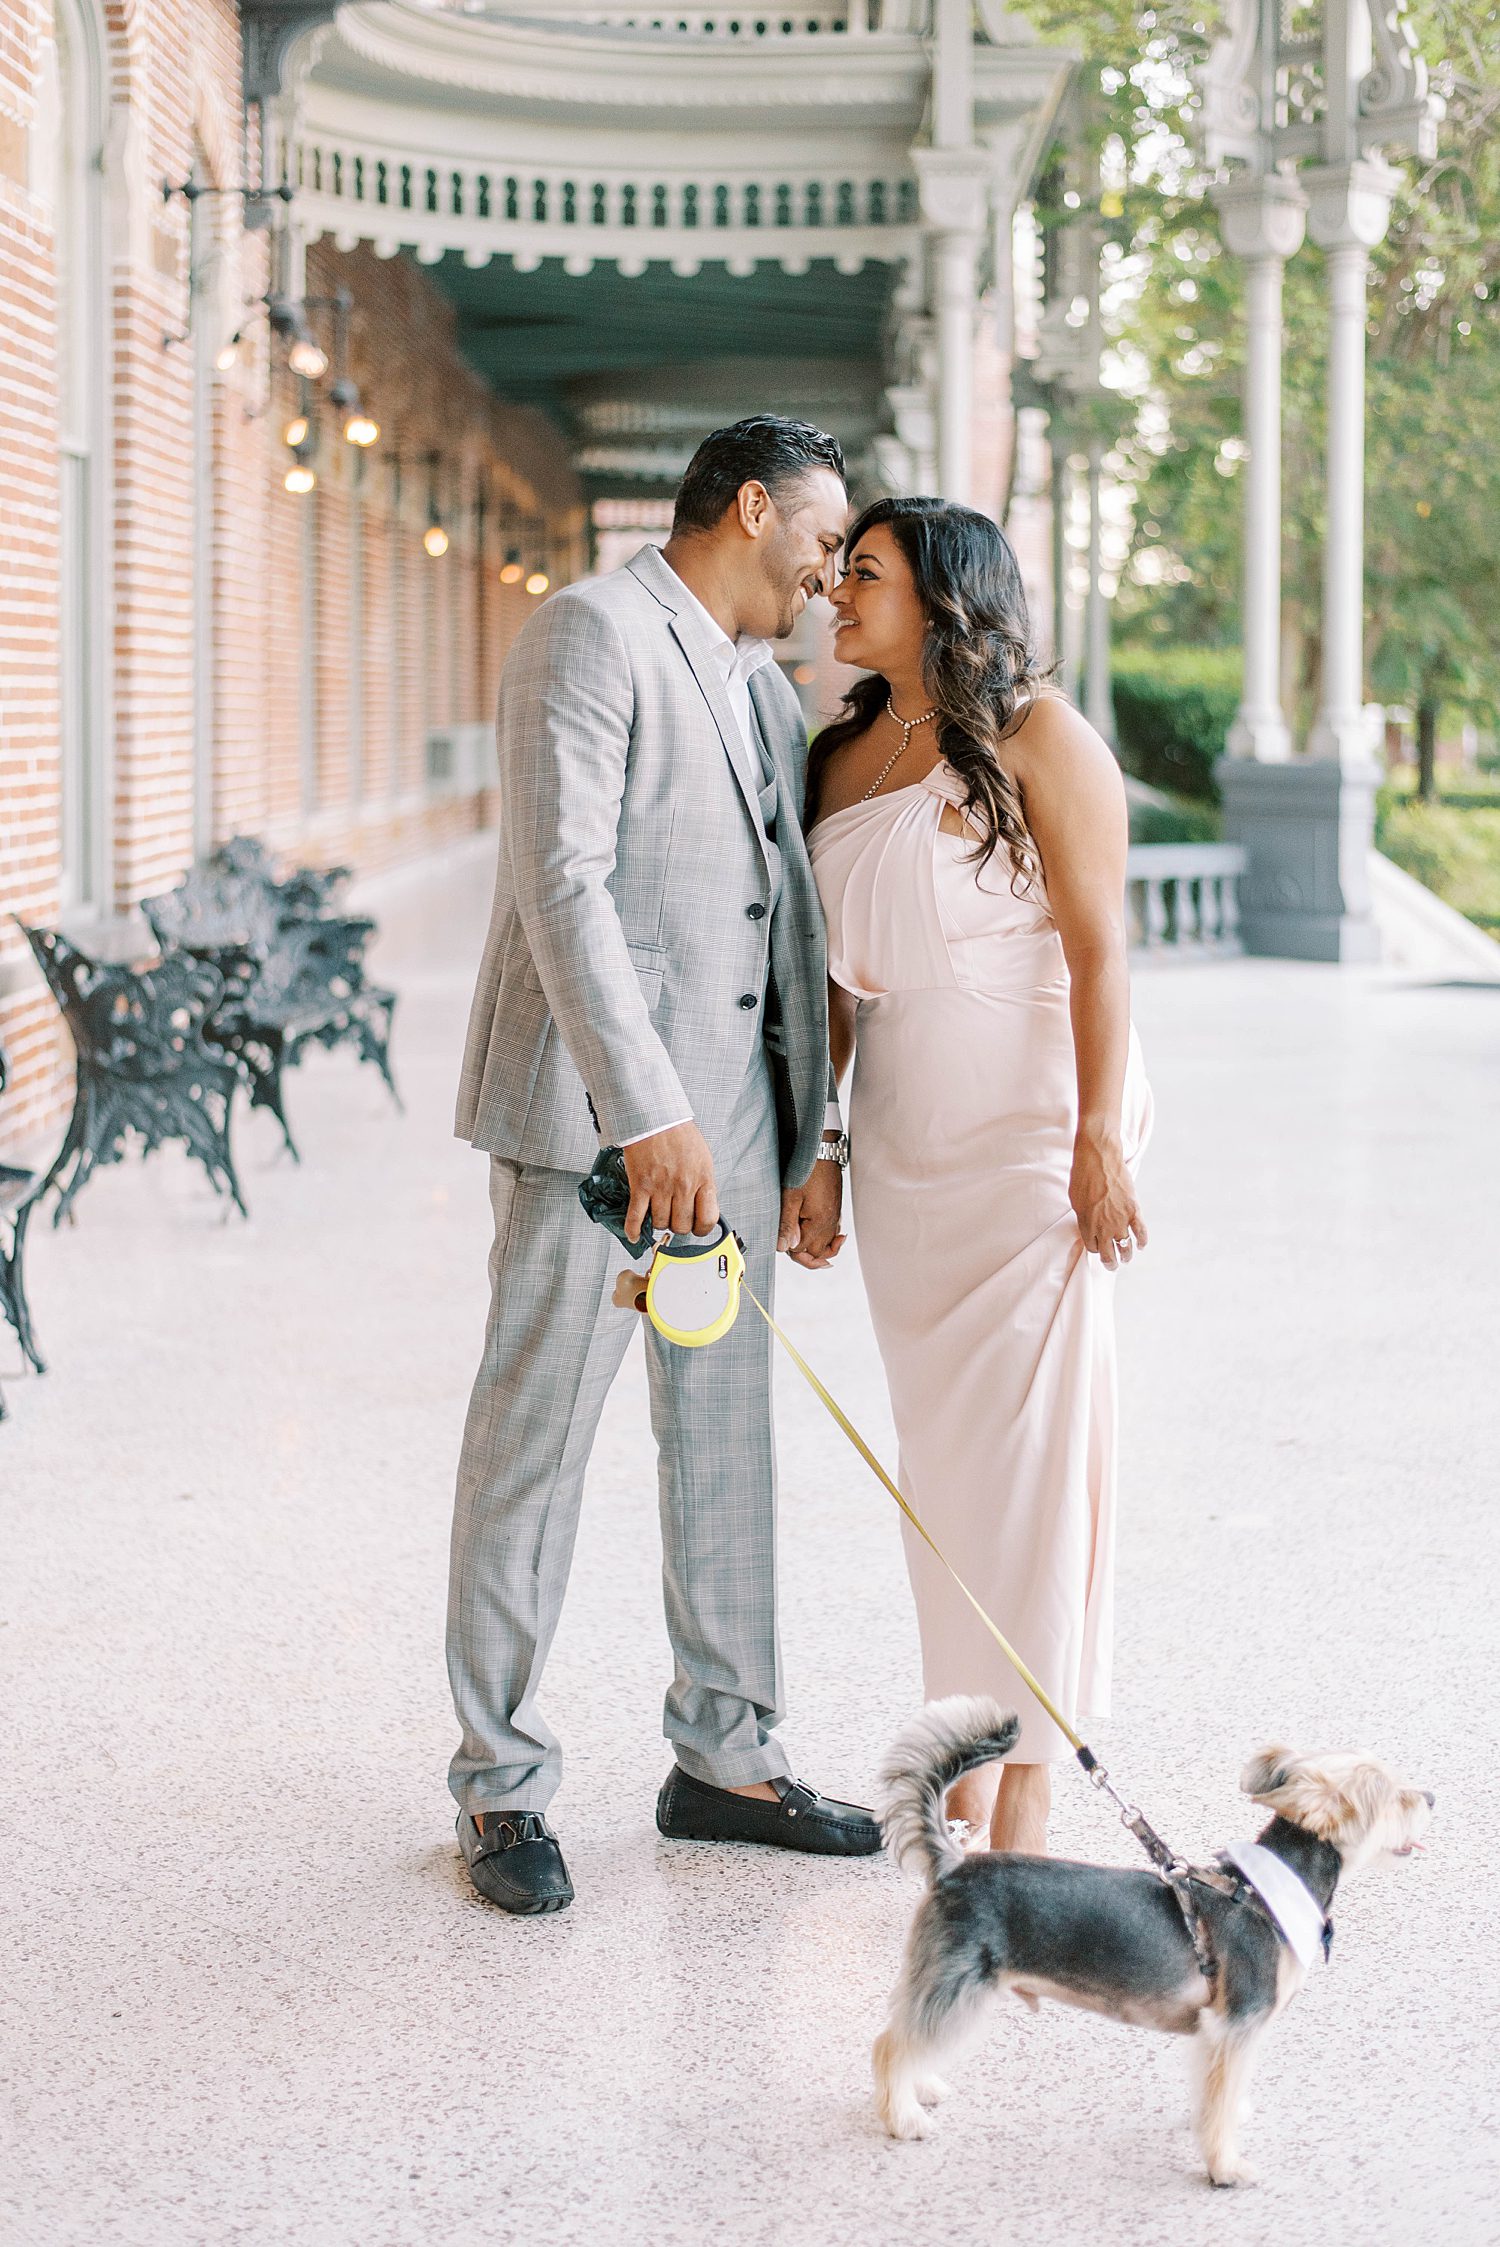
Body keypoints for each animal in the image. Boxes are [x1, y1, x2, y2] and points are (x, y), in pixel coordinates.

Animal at [871, 1689, 1437, 2184]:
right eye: (1390, 1793)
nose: (1431, 1796)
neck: (1264, 1893)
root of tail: (953, 1865)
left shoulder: (1221, 2036)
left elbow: (1217, 2096)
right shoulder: (1236, 2025)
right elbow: (1218, 2106)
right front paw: (1224, 2167)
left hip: (947, 1988)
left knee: (910, 2033)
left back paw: (921, 2085)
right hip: (959, 1985)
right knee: (890, 2046)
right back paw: (902, 2118)